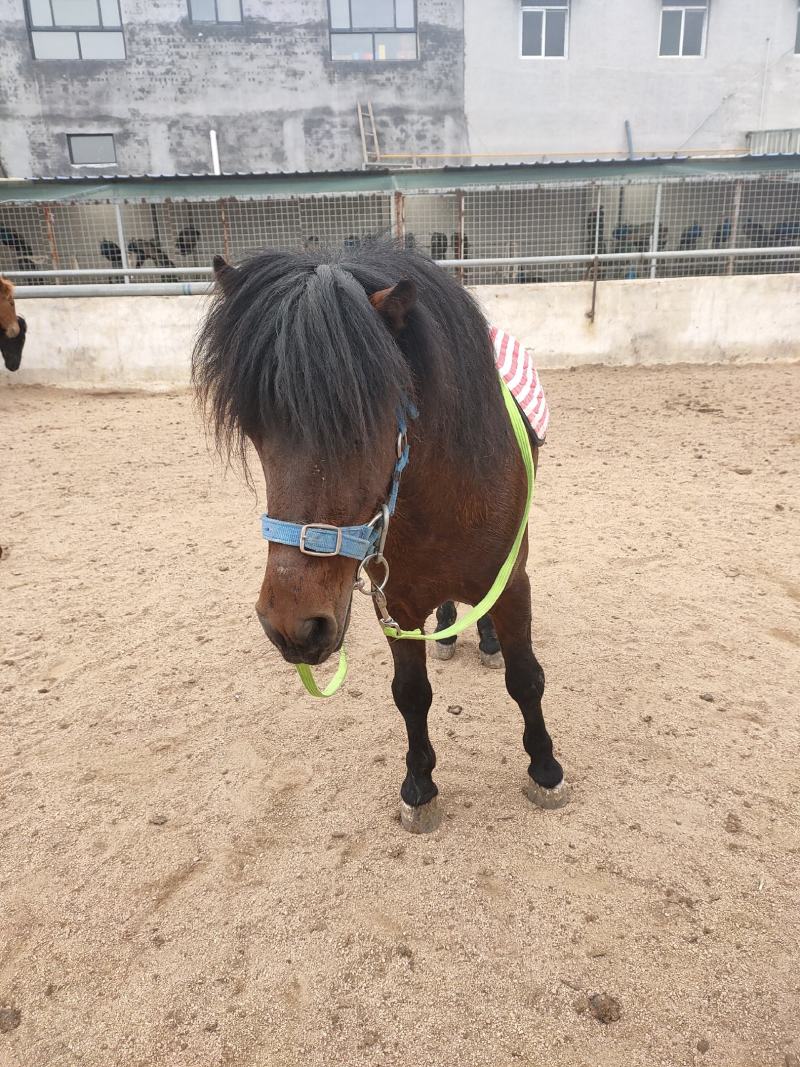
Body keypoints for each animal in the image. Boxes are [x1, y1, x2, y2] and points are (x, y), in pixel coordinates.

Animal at [192, 241, 565, 832]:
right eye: (254, 428)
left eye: (363, 423)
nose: (293, 627)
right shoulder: (395, 602)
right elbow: (410, 694)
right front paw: (419, 786)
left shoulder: (513, 583)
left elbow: (525, 677)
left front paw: (545, 769)